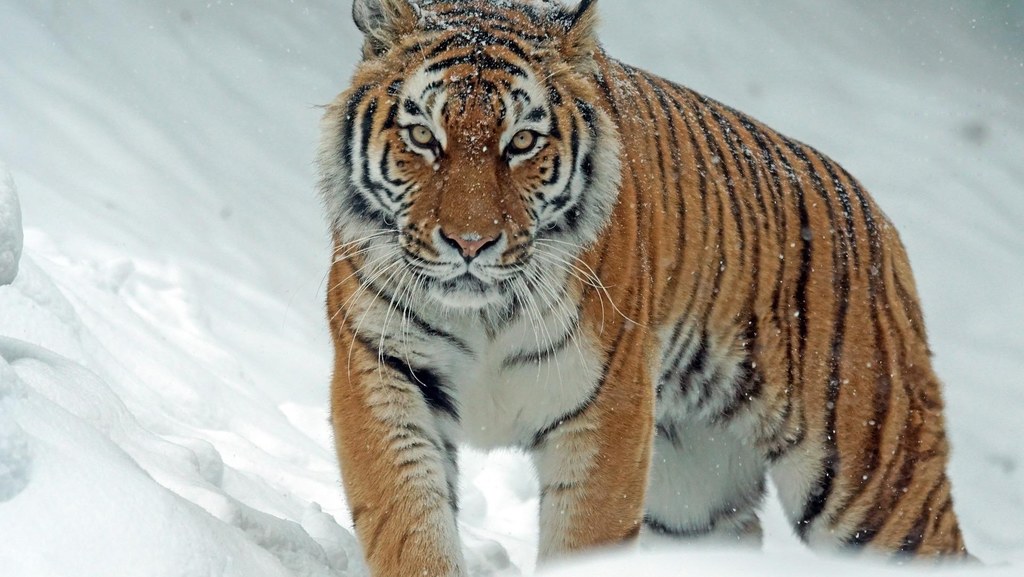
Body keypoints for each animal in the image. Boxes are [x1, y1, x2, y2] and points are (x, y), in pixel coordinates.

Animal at [317, 0, 966, 573]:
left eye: (521, 142)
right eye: (424, 137)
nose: (470, 243)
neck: (484, 315)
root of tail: (879, 220)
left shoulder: (608, 411)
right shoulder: (383, 373)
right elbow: (410, 526)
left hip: (873, 482)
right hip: (693, 497)